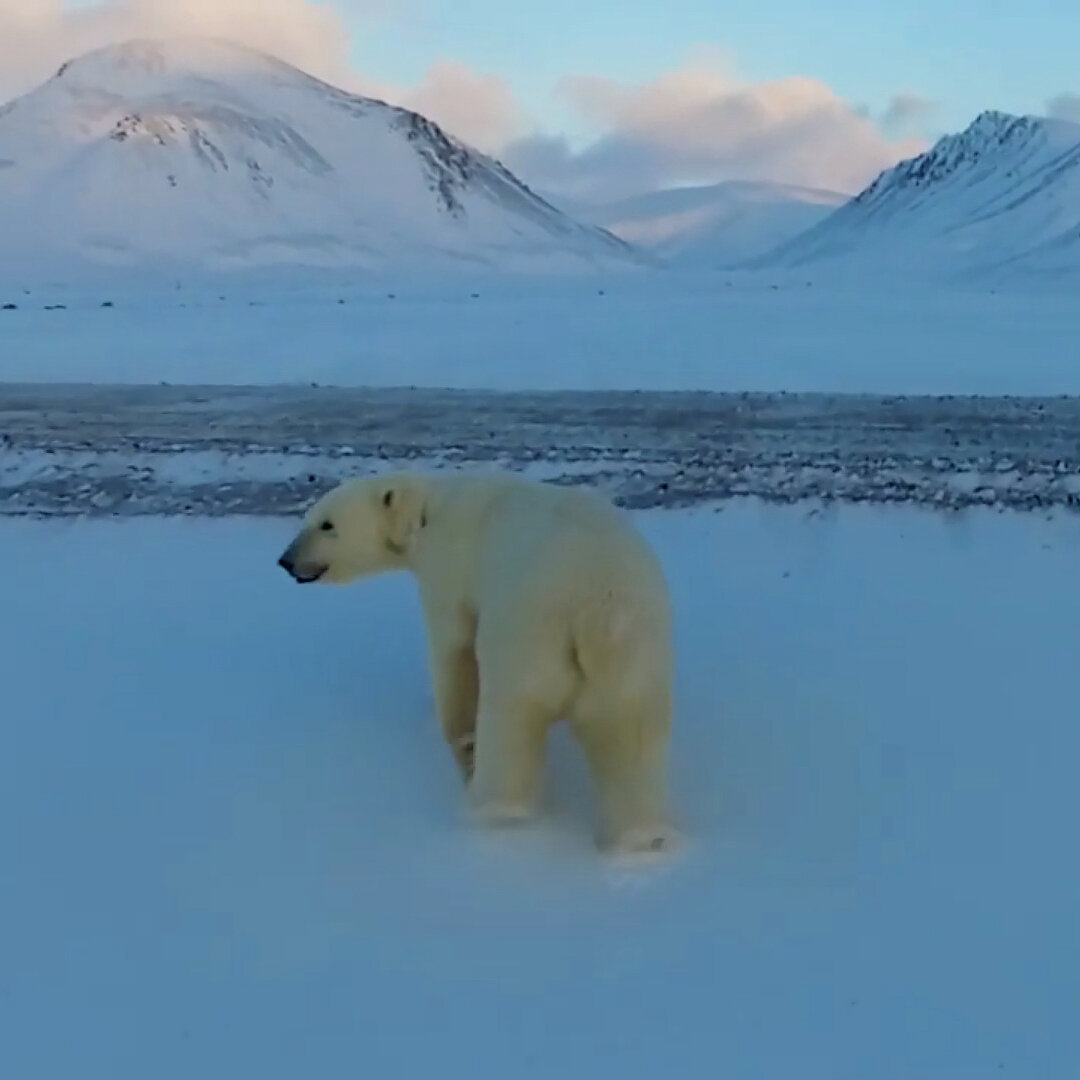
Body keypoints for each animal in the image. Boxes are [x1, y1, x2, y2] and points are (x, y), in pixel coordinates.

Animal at [278, 470, 673, 851]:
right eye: (309, 518)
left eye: (326, 524)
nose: (286, 560)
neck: (426, 512)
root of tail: (597, 613)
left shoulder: (448, 570)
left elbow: (453, 649)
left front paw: (452, 727)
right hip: (637, 654)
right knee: (629, 737)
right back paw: (639, 835)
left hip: (527, 636)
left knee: (511, 720)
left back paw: (495, 809)